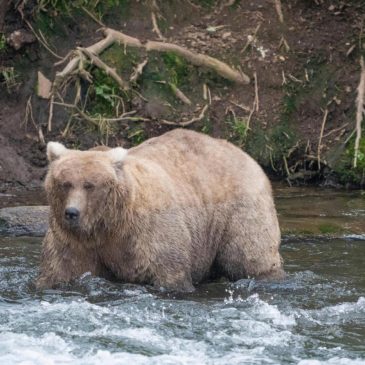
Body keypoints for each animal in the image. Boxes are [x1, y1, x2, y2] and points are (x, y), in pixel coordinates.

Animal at [36, 128, 282, 290]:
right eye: (65, 183)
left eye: (90, 185)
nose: (72, 213)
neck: (108, 224)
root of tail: (245, 154)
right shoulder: (74, 241)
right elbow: (61, 270)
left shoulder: (149, 232)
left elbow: (168, 272)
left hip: (239, 210)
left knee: (248, 255)